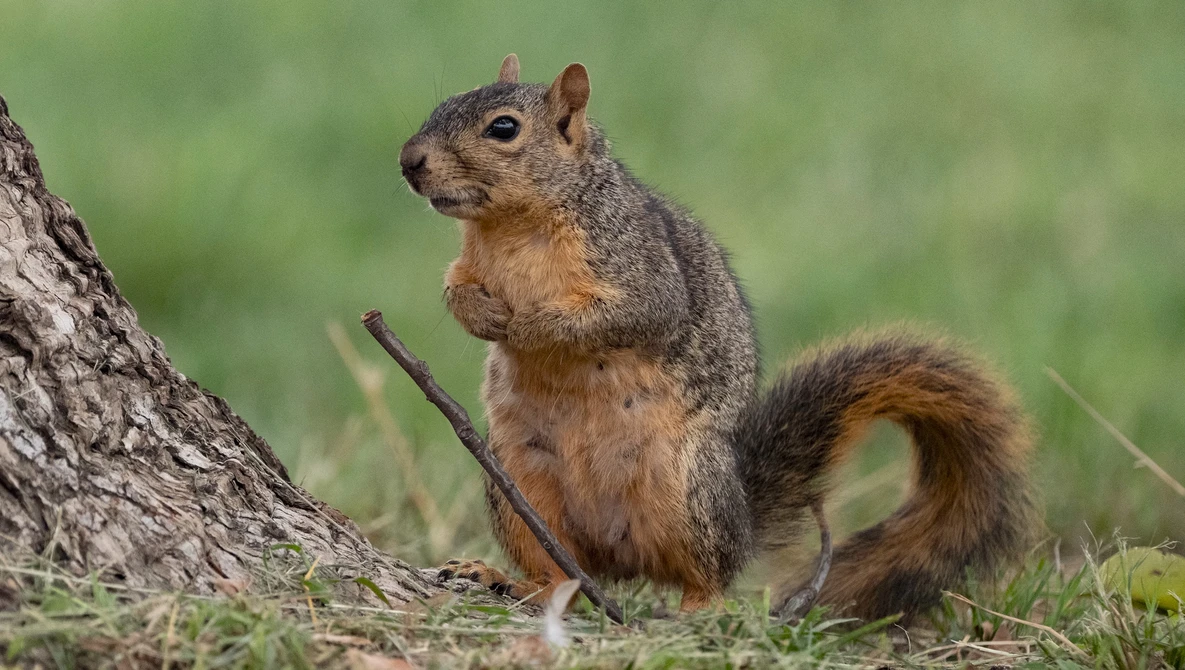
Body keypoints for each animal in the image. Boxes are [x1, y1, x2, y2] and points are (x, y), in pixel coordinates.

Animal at [398, 54, 1038, 620]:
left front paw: (528, 324)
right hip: (517, 486)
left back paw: (698, 610)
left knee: (708, 574)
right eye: (445, 102)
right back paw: (509, 580)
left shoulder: (641, 269)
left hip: (689, 488)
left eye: (504, 127)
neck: (511, 228)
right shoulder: (471, 263)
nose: (409, 160)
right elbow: (455, 289)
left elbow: (629, 315)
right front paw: (481, 313)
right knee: (564, 580)